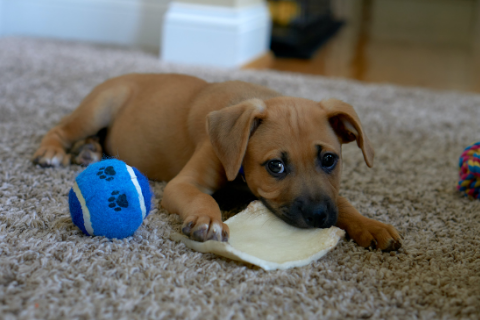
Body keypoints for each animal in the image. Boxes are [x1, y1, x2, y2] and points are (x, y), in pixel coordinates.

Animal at [32, 74, 402, 251]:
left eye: (329, 159)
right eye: (276, 167)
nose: (319, 217)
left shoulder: (331, 191)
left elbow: (344, 201)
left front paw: (371, 225)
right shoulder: (183, 184)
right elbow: (203, 198)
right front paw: (208, 222)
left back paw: (90, 152)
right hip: (97, 109)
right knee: (62, 128)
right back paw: (52, 151)